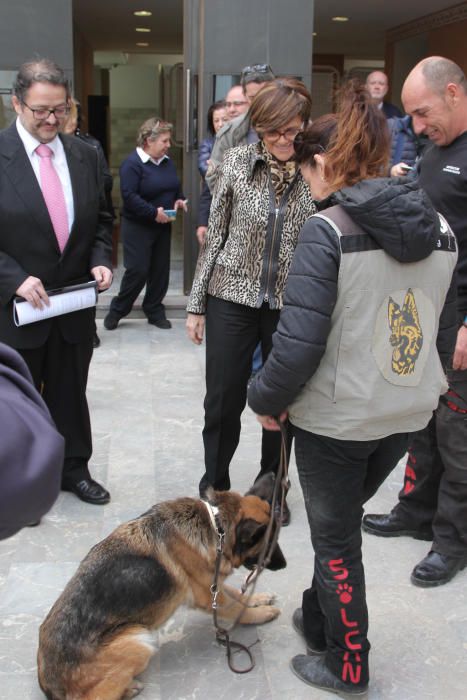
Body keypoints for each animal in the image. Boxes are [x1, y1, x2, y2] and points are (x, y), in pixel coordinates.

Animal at [39, 476, 288, 700]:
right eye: (270, 544)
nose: (285, 565)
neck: (216, 526)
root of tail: (48, 684)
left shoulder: (213, 583)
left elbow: (238, 595)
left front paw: (259, 599)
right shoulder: (208, 595)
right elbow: (238, 609)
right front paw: (262, 613)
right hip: (138, 640)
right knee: (95, 696)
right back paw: (129, 688)